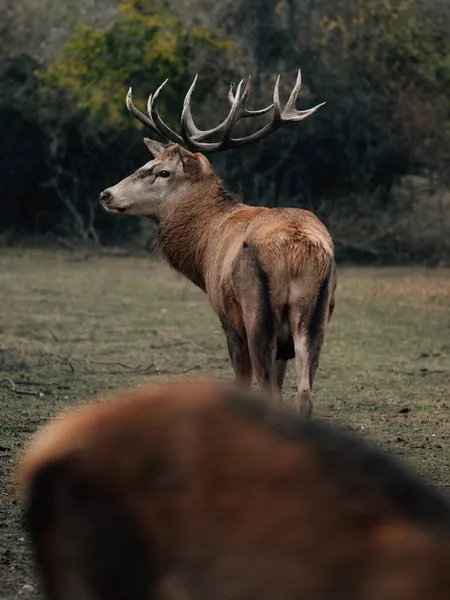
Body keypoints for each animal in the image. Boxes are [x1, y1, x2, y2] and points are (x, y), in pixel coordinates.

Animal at [100, 70, 336, 418]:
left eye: (163, 171)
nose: (106, 194)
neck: (204, 245)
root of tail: (296, 249)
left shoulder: (229, 322)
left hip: (257, 316)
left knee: (270, 391)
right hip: (316, 317)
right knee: (303, 395)